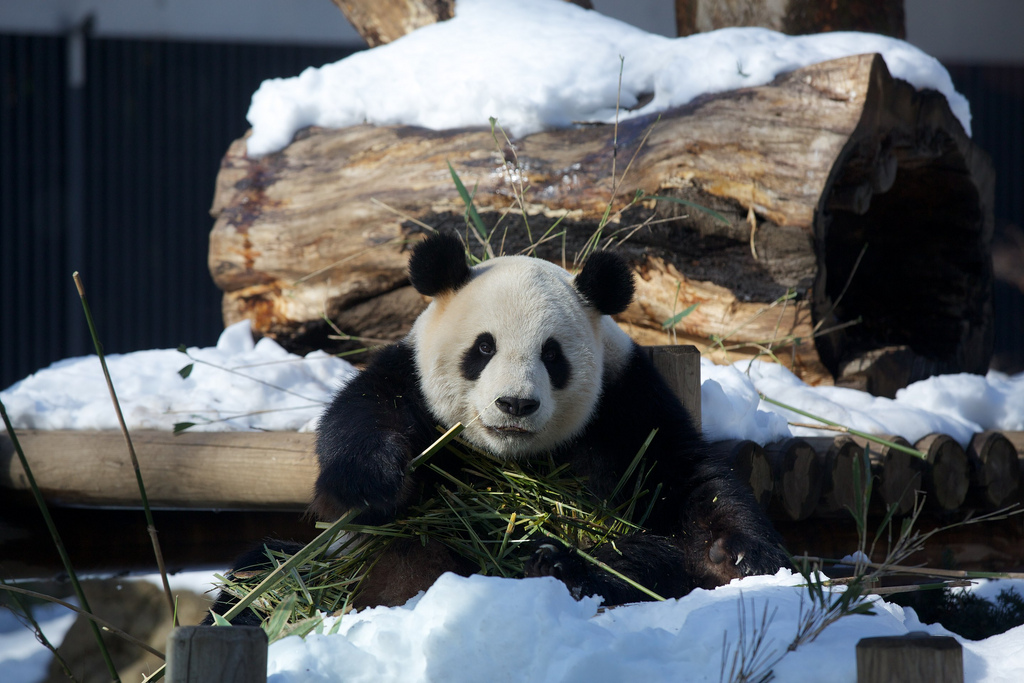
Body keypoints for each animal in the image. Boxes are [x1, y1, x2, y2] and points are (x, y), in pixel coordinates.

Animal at [301, 231, 782, 610]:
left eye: (552, 355)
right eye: (484, 348)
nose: (515, 404)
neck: (512, 457)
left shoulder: (627, 404)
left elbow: (687, 477)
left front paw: (735, 553)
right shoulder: (409, 382)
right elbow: (360, 421)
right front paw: (374, 482)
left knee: (645, 561)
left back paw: (557, 564)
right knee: (415, 551)